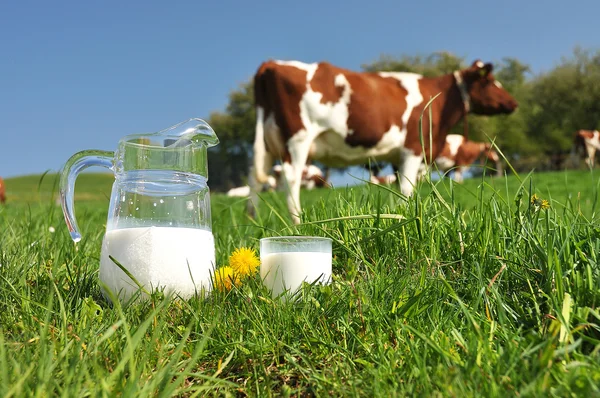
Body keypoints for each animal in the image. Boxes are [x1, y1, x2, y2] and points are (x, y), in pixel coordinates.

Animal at [248, 58, 516, 224]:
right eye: (490, 82)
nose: (513, 103)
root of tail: (270, 63)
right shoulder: (412, 149)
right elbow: (407, 188)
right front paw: (408, 217)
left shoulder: (399, 156)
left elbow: (399, 188)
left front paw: (398, 215)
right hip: (298, 140)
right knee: (290, 178)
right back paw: (298, 222)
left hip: (268, 142)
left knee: (255, 179)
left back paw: (251, 220)